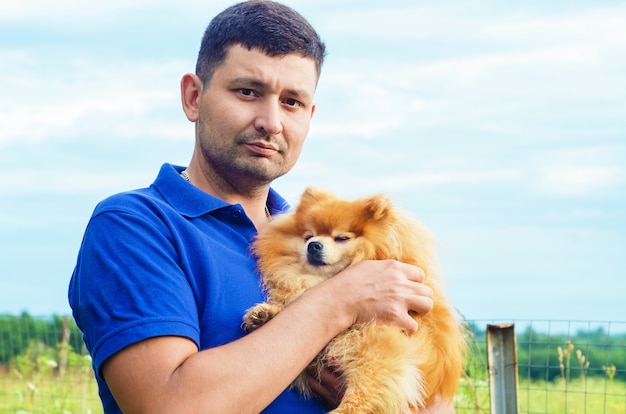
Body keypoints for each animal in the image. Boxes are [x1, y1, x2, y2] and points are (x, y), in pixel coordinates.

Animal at [244, 188, 464, 414]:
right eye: (309, 236)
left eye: (341, 238)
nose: (313, 245)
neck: (319, 281)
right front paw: (266, 314)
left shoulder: (380, 349)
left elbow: (365, 391)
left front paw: (344, 410)